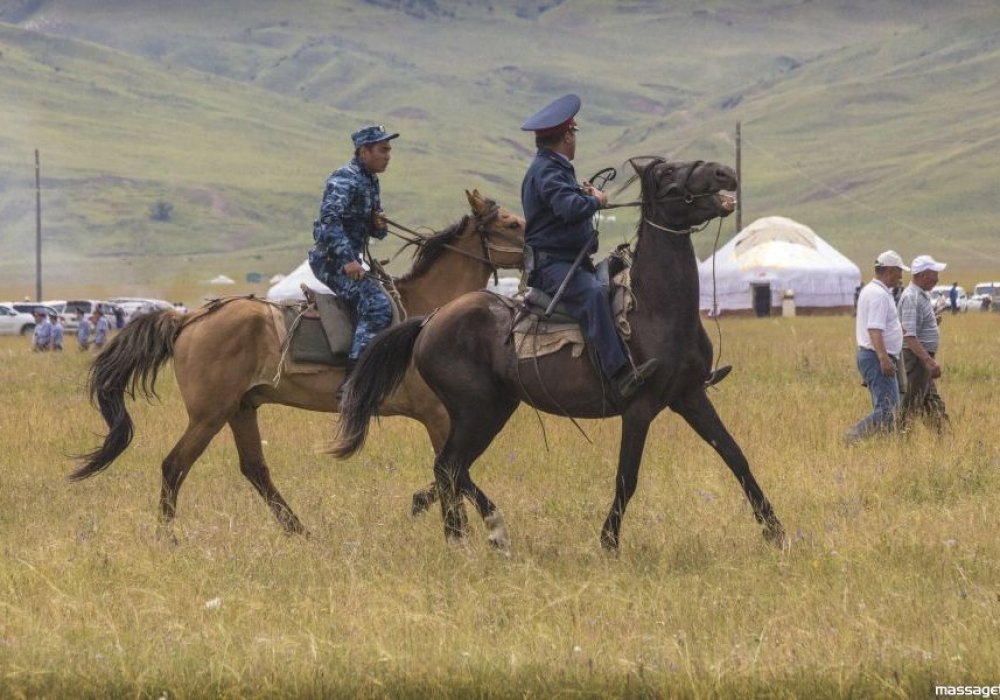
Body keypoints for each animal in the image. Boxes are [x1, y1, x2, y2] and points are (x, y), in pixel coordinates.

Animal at [74, 189, 528, 532]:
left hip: (241, 408)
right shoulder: (439, 414)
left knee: (255, 469)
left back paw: (300, 532)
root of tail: (189, 317)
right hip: (210, 414)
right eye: (511, 224)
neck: (430, 315)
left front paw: (433, 511)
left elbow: (452, 471)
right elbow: (451, 470)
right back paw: (168, 537)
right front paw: (457, 525)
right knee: (174, 466)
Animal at [336, 159, 788, 552]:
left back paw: (455, 534)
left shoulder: (690, 396)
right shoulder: (639, 407)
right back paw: (492, 529)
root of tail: (430, 320)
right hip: (476, 410)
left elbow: (736, 457)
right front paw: (608, 542)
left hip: (494, 408)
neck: (656, 309)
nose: (724, 172)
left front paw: (776, 531)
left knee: (451, 470)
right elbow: (627, 477)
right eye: (667, 173)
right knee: (450, 467)